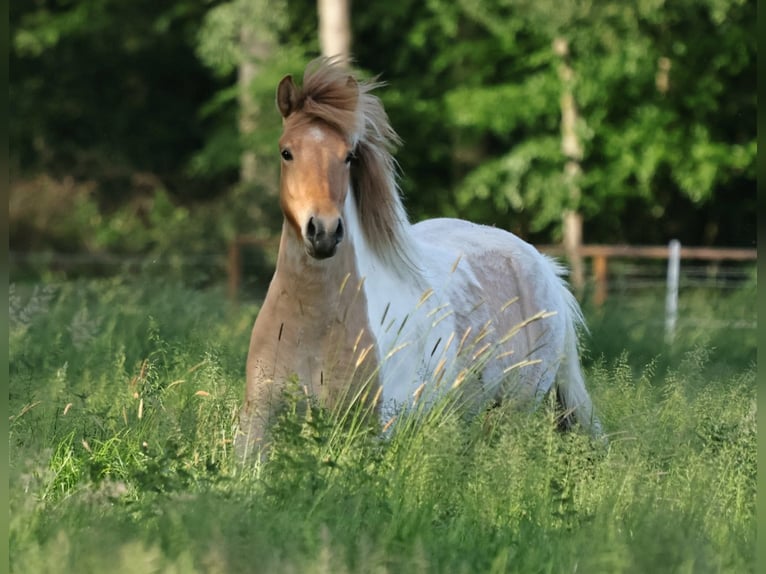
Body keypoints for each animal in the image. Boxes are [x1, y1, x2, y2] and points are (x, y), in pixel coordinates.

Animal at [235, 57, 601, 459]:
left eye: (348, 156)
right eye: (286, 152)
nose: (324, 232)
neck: (312, 321)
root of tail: (545, 269)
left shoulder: (367, 432)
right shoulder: (256, 426)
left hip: (513, 412)